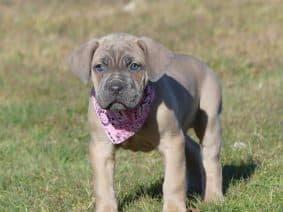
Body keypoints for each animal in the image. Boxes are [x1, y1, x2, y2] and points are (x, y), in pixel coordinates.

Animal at [69, 32, 224, 211]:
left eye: (134, 66)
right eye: (99, 67)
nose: (115, 87)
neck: (128, 115)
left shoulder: (171, 142)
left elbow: (173, 181)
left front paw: (174, 208)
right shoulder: (101, 147)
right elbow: (103, 186)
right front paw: (106, 208)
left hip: (209, 123)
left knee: (211, 160)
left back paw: (213, 198)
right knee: (192, 148)